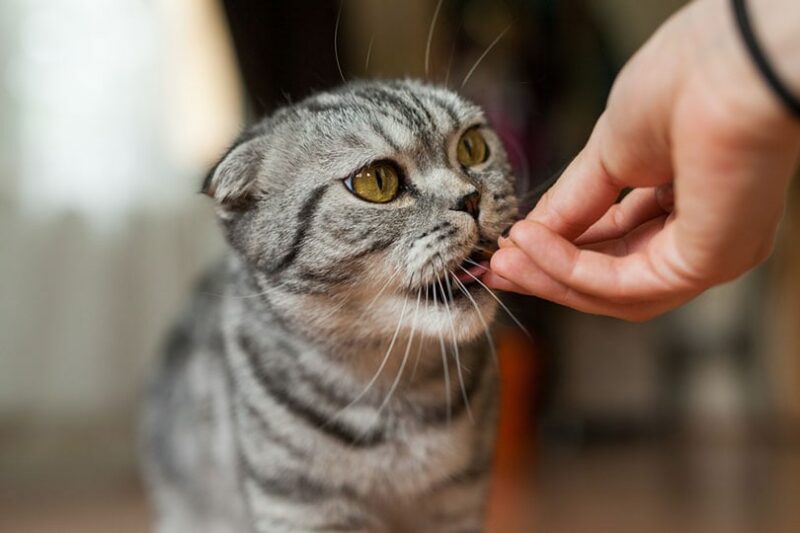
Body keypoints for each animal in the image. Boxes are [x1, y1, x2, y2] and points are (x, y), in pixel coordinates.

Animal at [142, 79, 520, 532]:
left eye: (472, 147)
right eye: (376, 181)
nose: (470, 199)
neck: (400, 388)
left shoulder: (458, 502)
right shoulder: (302, 508)